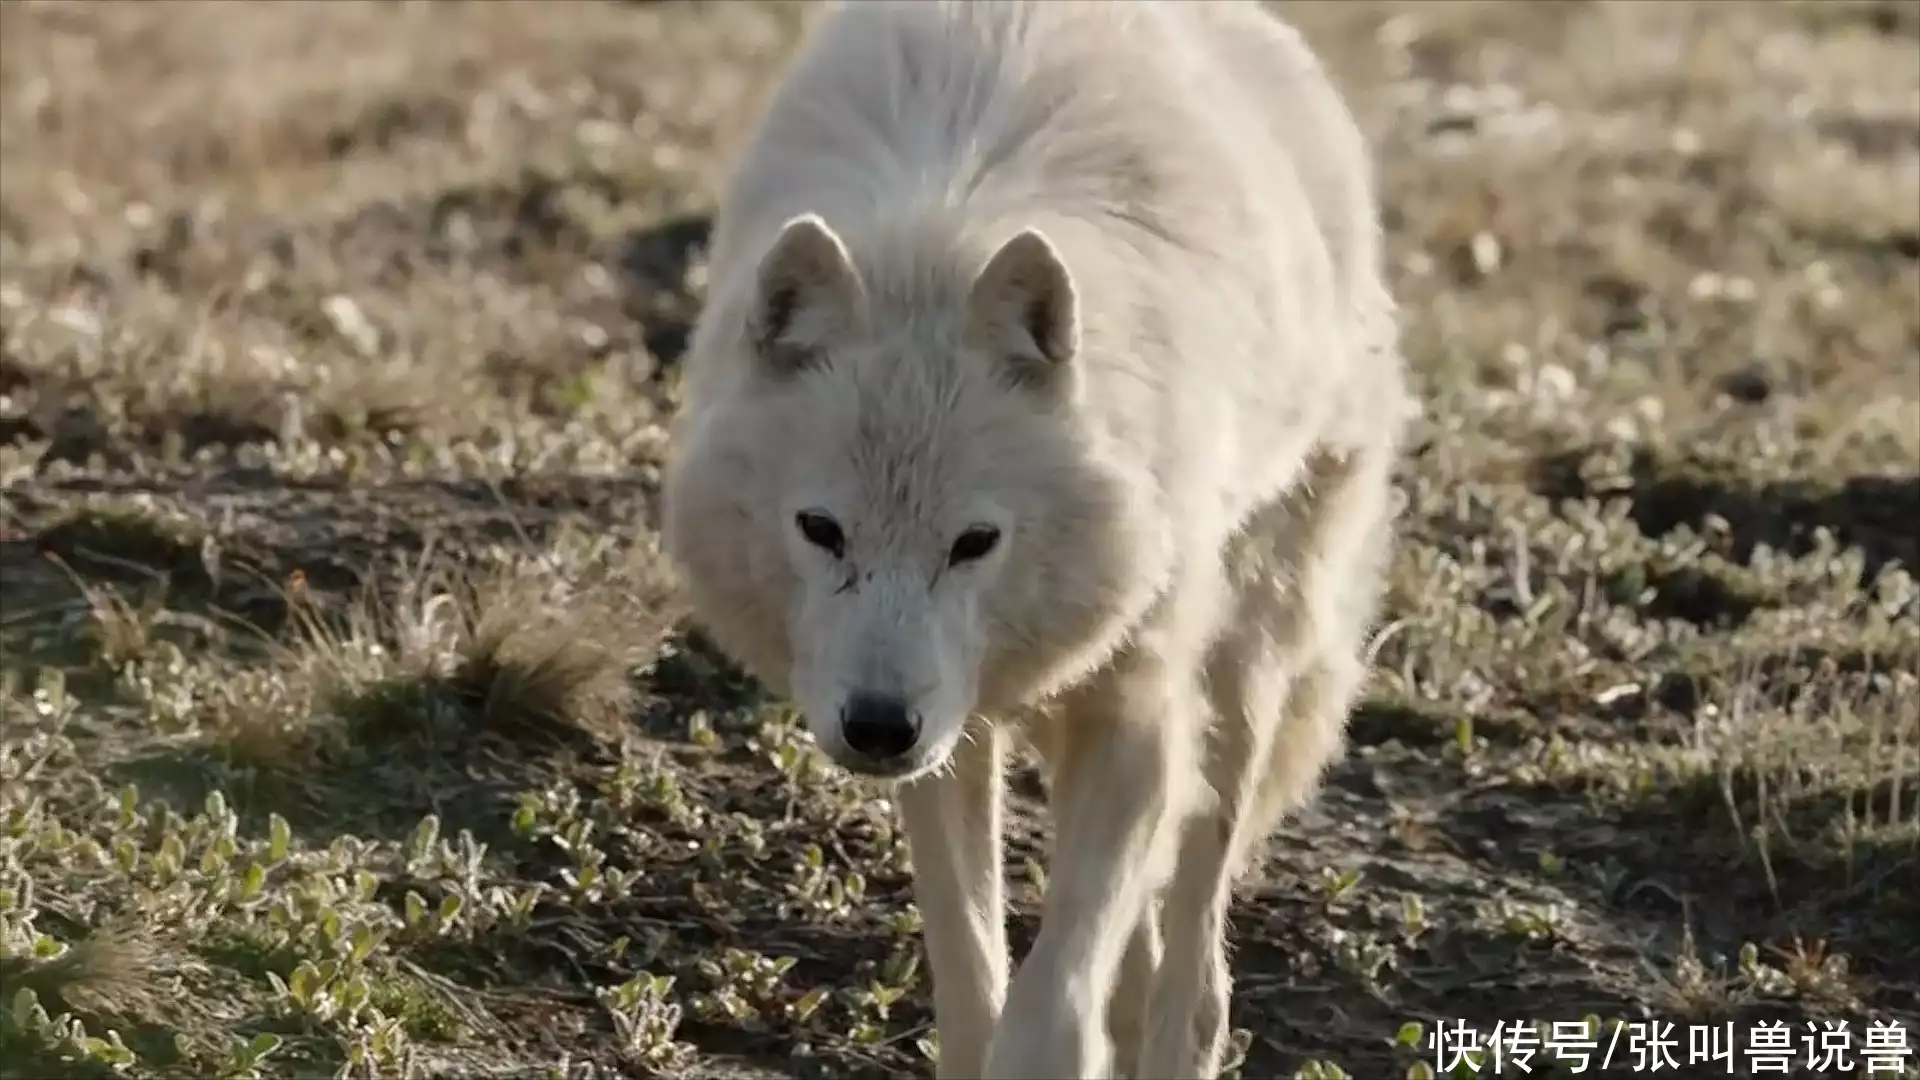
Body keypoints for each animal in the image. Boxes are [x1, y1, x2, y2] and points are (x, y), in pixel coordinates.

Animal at [660, 4, 1413, 1068]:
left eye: (974, 542)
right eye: (822, 530)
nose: (878, 728)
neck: (936, 240)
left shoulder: (1137, 711)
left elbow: (1053, 1003)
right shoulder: (950, 735)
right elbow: (974, 971)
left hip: (1241, 670)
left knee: (1194, 936)